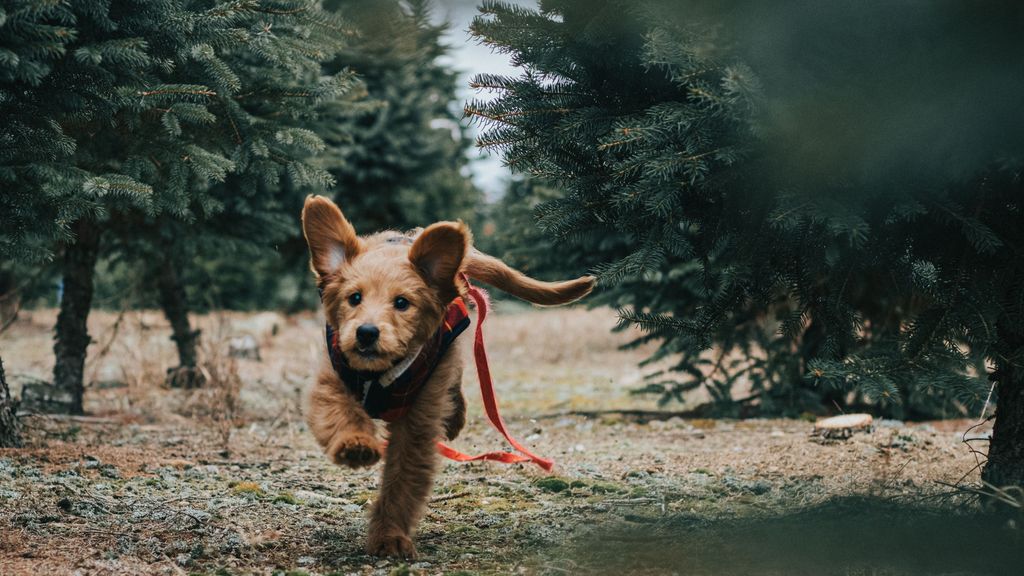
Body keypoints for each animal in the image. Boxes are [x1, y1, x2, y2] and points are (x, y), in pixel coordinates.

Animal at [299, 194, 598, 553]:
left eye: (402, 303)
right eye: (354, 298)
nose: (367, 333)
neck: (381, 373)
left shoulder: (418, 421)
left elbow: (402, 481)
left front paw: (389, 536)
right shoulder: (331, 378)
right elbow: (340, 414)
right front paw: (355, 444)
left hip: (447, 356)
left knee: (455, 383)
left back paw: (455, 418)